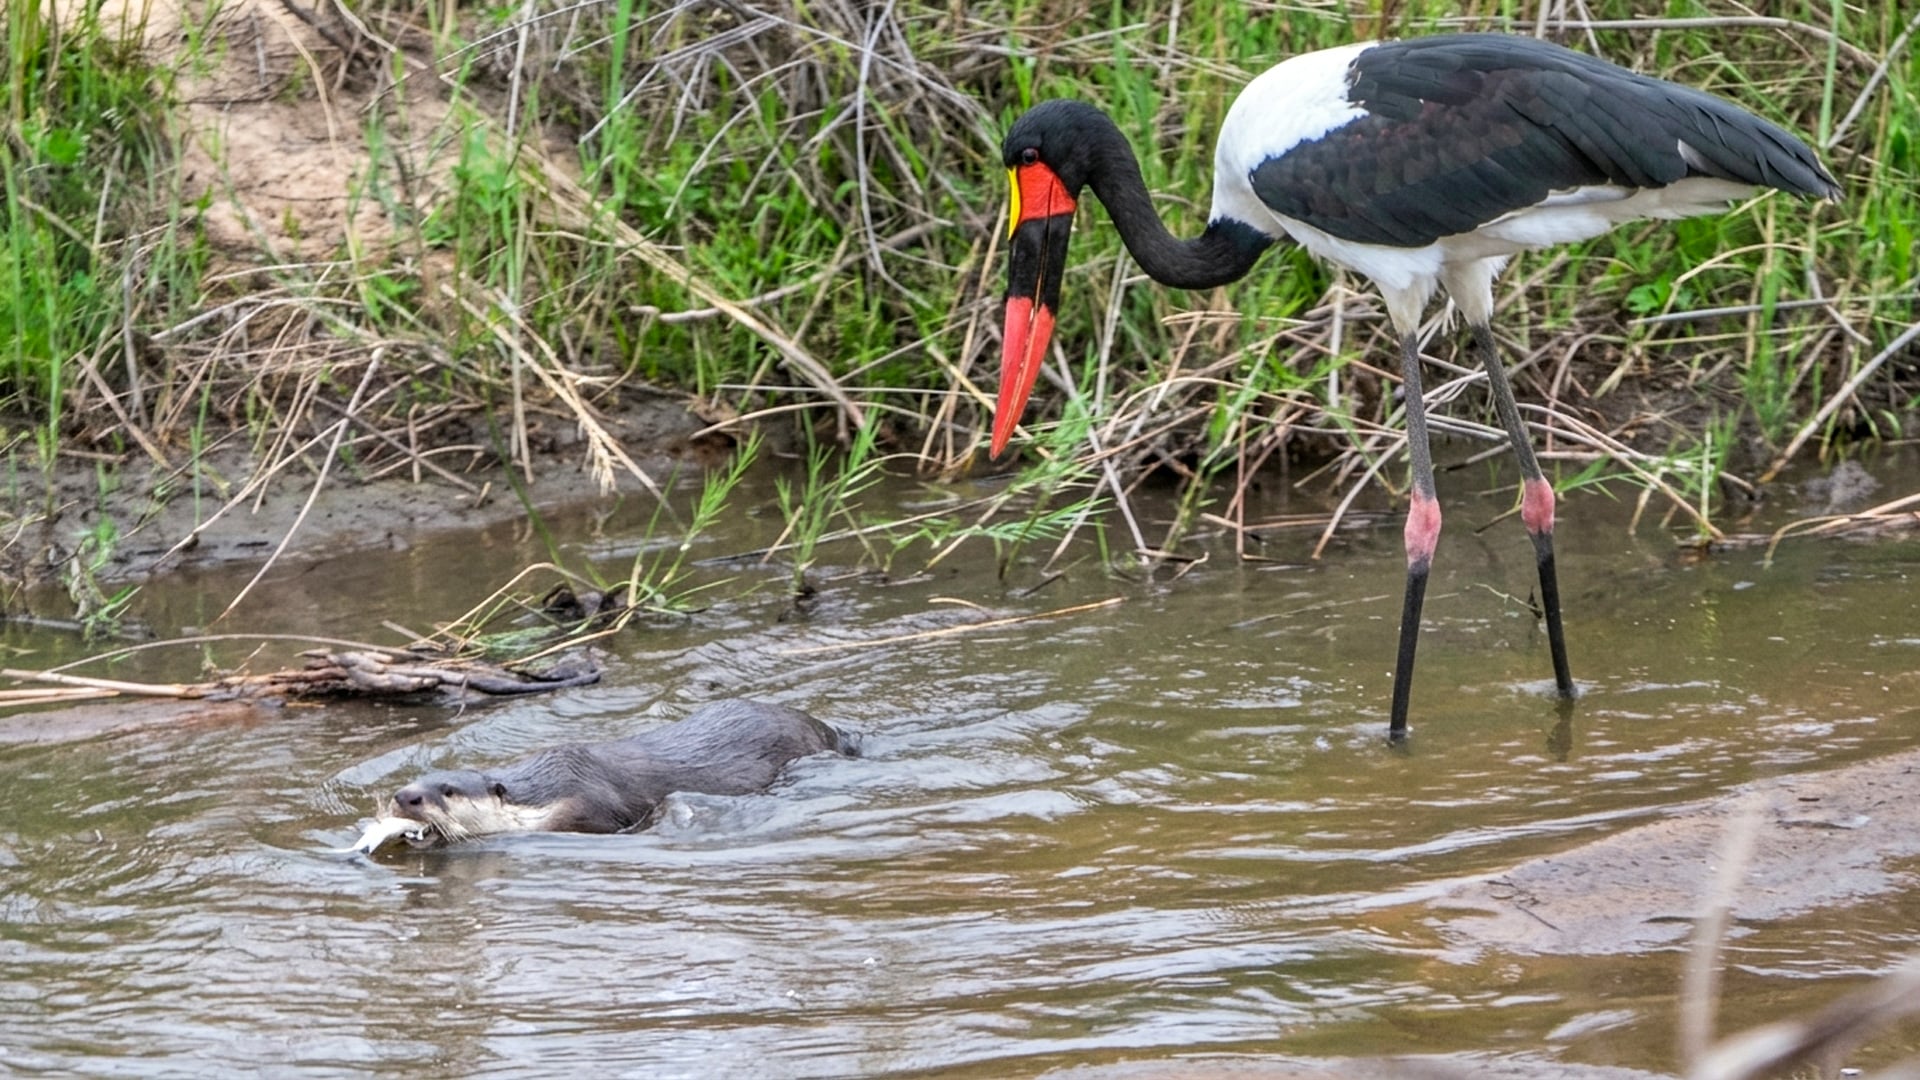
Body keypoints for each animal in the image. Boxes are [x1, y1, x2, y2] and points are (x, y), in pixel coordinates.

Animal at [353, 700, 852, 851]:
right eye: (412, 780)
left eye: (448, 790)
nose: (405, 797)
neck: (541, 800)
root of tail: (825, 727)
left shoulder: (585, 809)